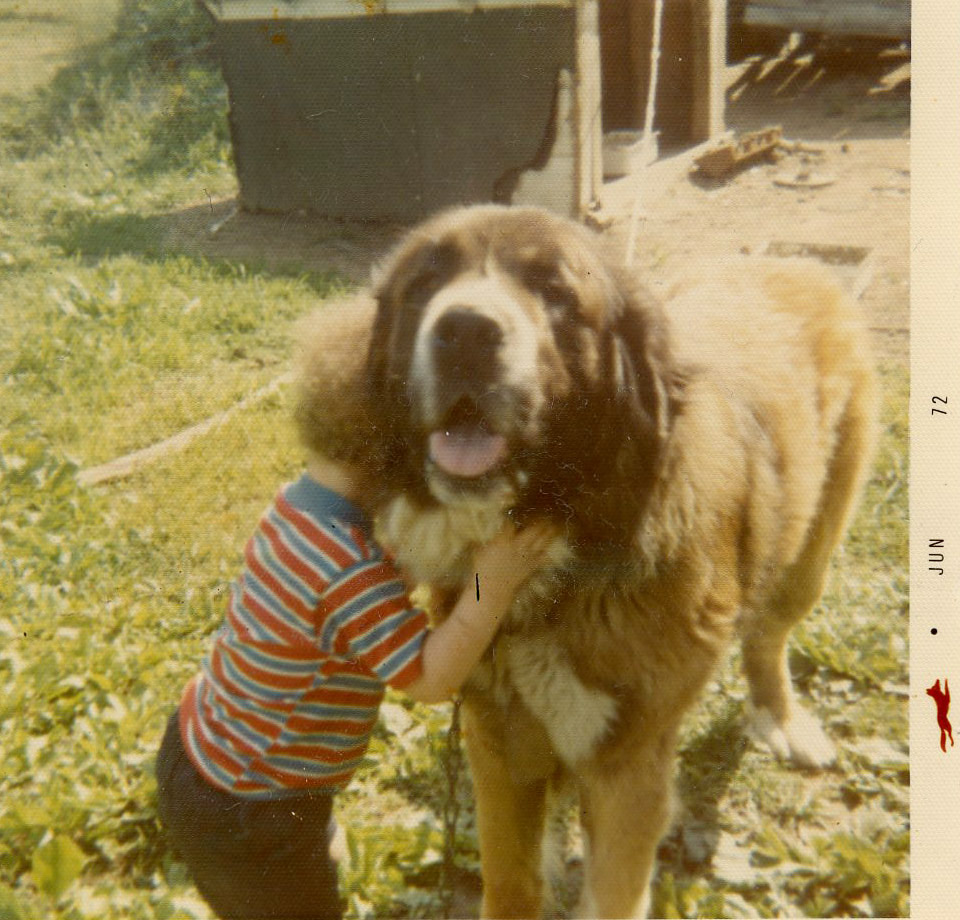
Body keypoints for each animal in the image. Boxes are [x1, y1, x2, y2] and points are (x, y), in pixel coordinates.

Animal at [308, 204, 877, 918]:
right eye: (425, 284)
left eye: (554, 292)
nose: (464, 330)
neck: (562, 550)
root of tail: (792, 264)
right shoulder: (500, 740)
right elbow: (511, 878)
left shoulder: (627, 763)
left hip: (811, 553)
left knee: (769, 634)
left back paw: (782, 718)